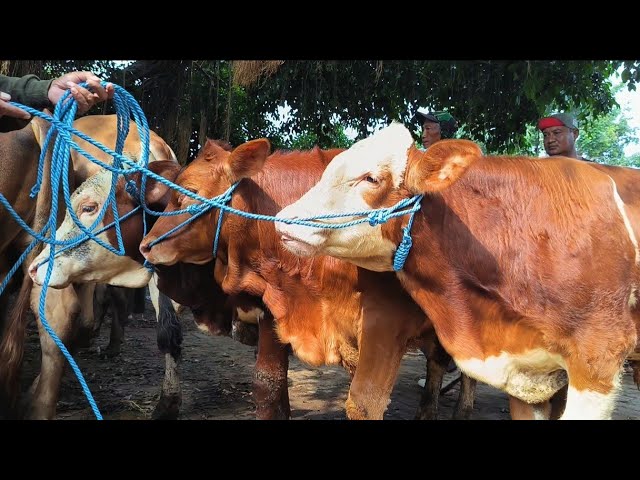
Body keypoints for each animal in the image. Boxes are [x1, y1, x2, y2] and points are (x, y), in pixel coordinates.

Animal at [138, 139, 477, 420]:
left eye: (190, 193)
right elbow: (268, 383)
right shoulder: (274, 309)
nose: (146, 245)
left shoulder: (386, 324)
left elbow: (365, 404)